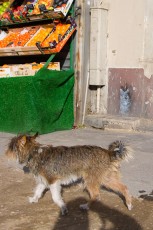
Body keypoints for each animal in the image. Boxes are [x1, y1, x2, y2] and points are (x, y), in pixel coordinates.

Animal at [5, 134, 133, 215]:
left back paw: (86, 206)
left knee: (96, 195)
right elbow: (37, 191)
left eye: (10, 147)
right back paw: (129, 204)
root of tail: (109, 152)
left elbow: (55, 197)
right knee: (124, 187)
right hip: (107, 178)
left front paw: (63, 208)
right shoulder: (44, 181)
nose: (4, 153)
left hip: (90, 180)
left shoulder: (53, 182)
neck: (34, 153)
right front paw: (33, 199)